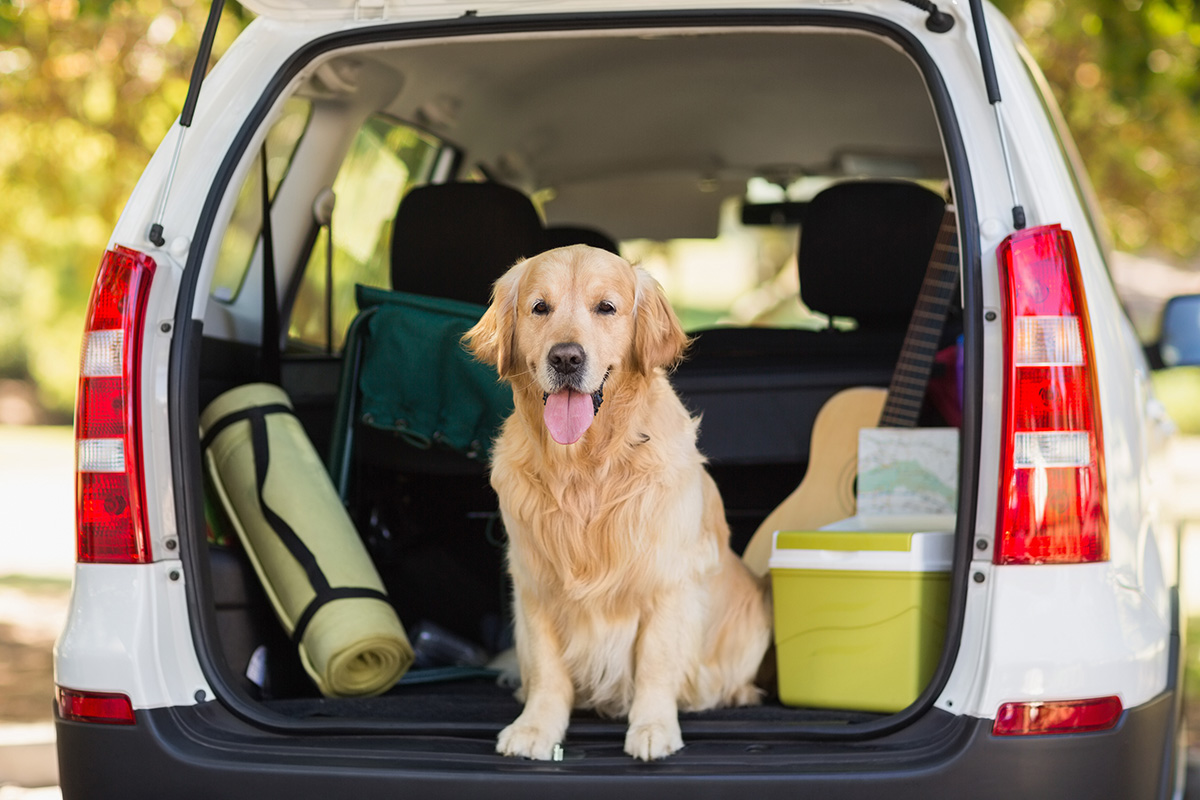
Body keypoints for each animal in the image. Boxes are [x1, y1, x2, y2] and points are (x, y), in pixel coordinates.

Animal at [463, 245, 772, 762]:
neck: (586, 468)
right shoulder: (534, 581)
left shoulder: (668, 581)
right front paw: (536, 727)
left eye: (605, 307)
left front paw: (652, 728)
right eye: (539, 307)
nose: (566, 357)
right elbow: (546, 668)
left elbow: (656, 662)